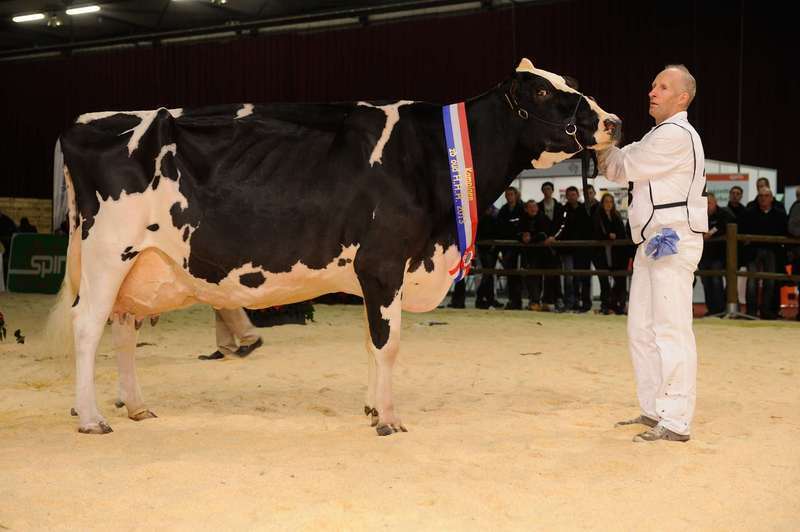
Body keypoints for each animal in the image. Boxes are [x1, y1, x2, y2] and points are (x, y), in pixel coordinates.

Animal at [51, 58, 620, 436]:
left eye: (572, 84)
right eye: (542, 94)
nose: (612, 121)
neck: (435, 155)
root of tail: (85, 121)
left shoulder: (376, 275)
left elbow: (372, 344)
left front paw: (371, 409)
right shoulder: (384, 263)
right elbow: (388, 343)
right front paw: (388, 419)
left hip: (137, 268)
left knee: (122, 329)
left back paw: (135, 406)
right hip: (108, 252)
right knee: (86, 326)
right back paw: (93, 417)